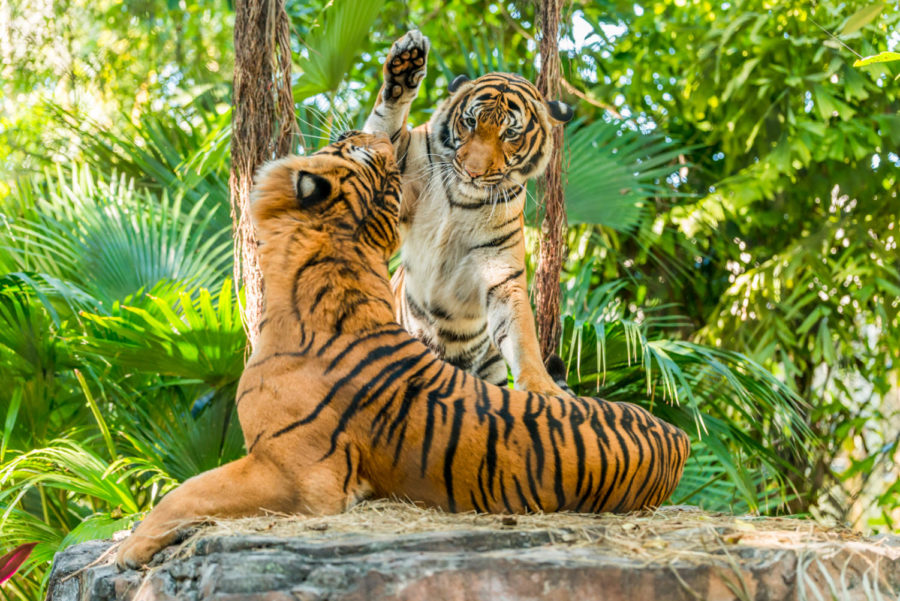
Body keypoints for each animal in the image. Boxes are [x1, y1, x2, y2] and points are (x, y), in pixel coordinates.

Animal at [112, 130, 688, 568]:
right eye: (368, 157)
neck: (339, 254)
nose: (376, 136)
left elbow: (188, 491)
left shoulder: (300, 475)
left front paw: (130, 549)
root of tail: (677, 436)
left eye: (355, 150)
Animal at [362, 31, 572, 398]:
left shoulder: (501, 274)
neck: (462, 197)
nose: (473, 172)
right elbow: (384, 122)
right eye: (471, 121)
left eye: (510, 133)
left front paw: (543, 388)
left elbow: (522, 339)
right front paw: (405, 66)